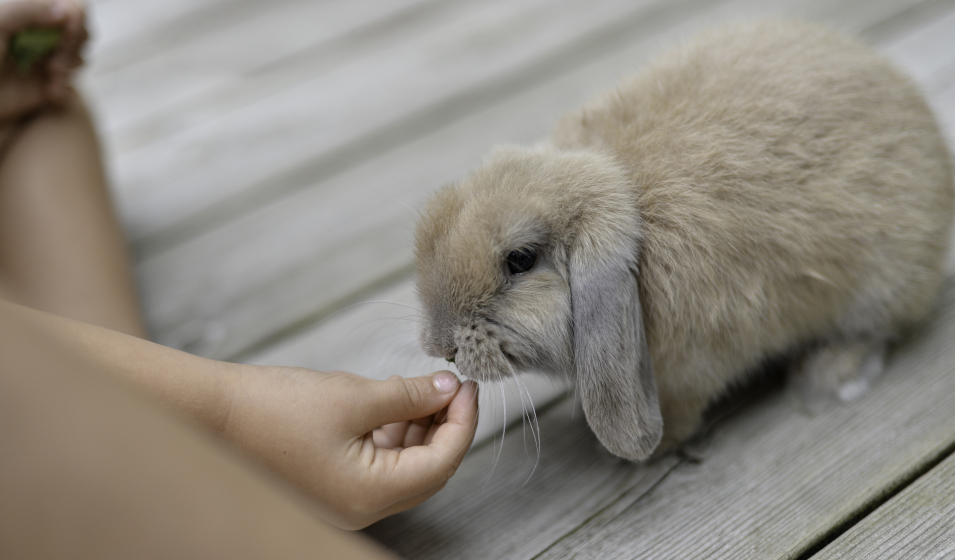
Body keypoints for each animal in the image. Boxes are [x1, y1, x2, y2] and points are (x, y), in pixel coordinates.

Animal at [413, 20, 955, 462]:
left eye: (520, 260)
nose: (441, 347)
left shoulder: (697, 365)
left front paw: (654, 446)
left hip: (881, 286)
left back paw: (824, 381)